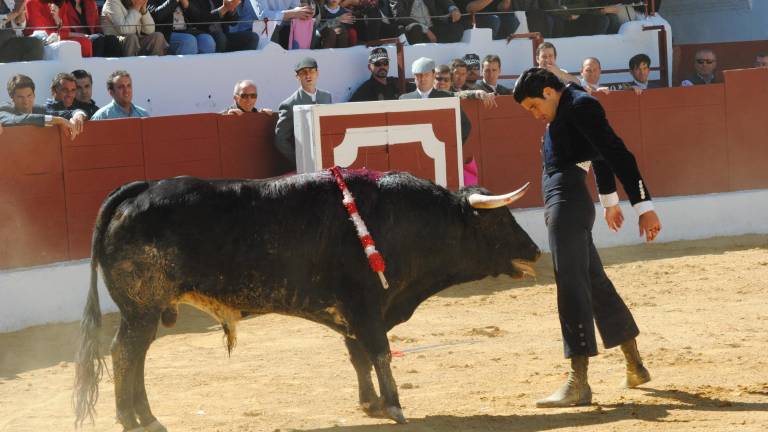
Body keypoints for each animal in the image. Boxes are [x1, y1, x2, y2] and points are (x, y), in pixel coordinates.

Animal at [73, 170, 540, 430]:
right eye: (499, 219)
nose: (535, 251)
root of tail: (138, 190)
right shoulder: (366, 304)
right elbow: (380, 352)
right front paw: (394, 406)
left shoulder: (354, 312)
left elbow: (358, 355)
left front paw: (369, 403)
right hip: (142, 308)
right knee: (125, 354)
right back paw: (136, 420)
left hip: (144, 311)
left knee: (133, 356)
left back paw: (144, 418)